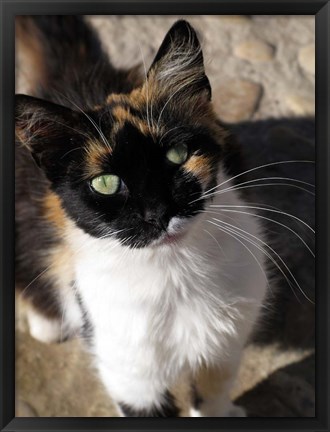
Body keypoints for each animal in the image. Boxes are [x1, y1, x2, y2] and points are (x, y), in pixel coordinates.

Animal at [14, 15, 270, 416]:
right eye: (105, 183)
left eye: (177, 154)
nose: (158, 213)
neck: (175, 272)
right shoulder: (130, 371)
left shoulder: (224, 347)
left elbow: (212, 394)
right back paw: (48, 322)